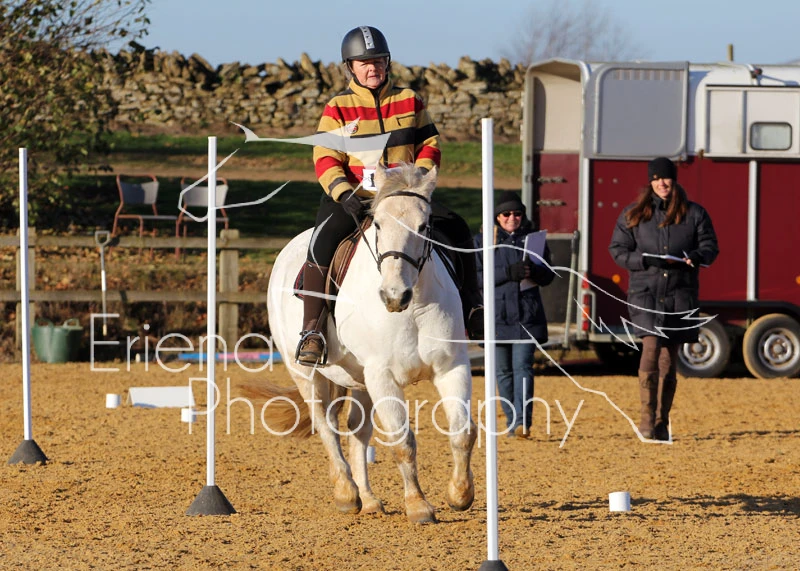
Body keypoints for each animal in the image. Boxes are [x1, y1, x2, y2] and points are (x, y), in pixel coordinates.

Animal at [259, 163, 477, 524]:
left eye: (424, 226)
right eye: (377, 224)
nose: (393, 295)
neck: (413, 306)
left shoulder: (451, 366)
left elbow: (463, 432)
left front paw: (460, 495)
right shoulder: (382, 375)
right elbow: (402, 441)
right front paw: (418, 505)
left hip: (360, 380)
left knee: (357, 430)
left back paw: (369, 498)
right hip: (305, 373)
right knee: (326, 425)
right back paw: (347, 493)